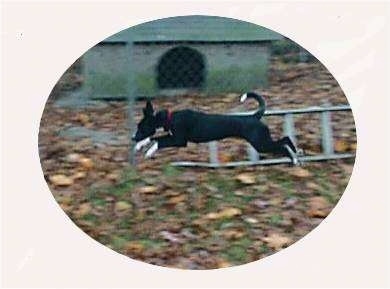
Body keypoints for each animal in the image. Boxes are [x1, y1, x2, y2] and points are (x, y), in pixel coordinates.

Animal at [131, 92, 298, 164]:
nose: (133, 138)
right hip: (262, 141)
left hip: (261, 143)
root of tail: (254, 116)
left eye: (141, 127)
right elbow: (154, 137)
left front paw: (149, 151)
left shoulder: (179, 140)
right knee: (285, 139)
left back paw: (294, 158)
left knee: (282, 144)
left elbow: (159, 140)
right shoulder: (174, 137)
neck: (169, 119)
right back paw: (297, 153)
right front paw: (140, 145)